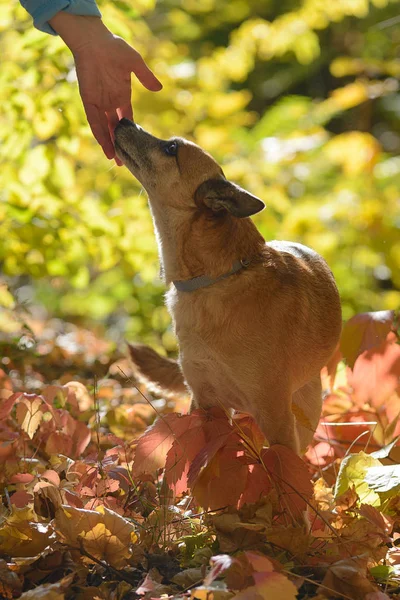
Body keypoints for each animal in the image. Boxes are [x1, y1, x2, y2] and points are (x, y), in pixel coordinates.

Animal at [114, 118, 342, 454]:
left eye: (172, 148)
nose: (123, 120)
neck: (216, 279)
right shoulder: (205, 401)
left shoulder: (275, 414)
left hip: (306, 407)